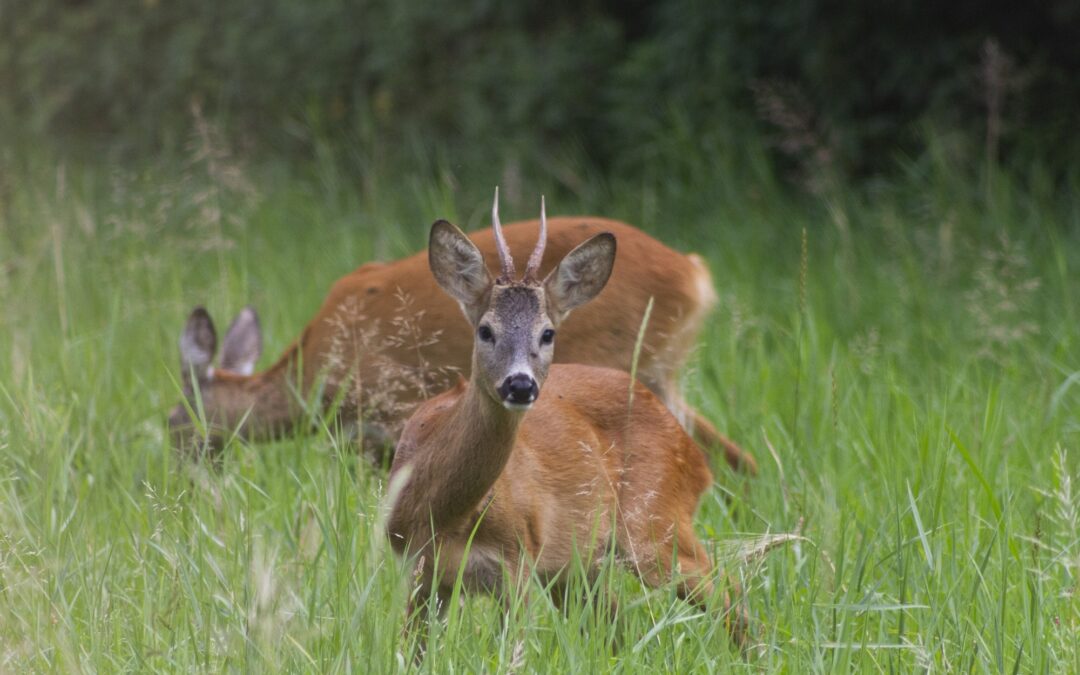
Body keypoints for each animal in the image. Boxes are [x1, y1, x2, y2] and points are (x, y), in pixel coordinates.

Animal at [170, 193, 760, 473]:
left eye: (175, 418)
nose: (180, 477)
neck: (313, 370)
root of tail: (695, 275)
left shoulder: (385, 415)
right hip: (663, 374)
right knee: (736, 457)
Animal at [388, 197, 751, 652]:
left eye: (548, 333)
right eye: (485, 330)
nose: (520, 384)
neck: (445, 512)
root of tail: (691, 454)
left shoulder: (518, 562)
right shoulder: (418, 572)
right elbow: (412, 651)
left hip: (656, 526)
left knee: (729, 594)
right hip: (579, 566)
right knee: (618, 626)